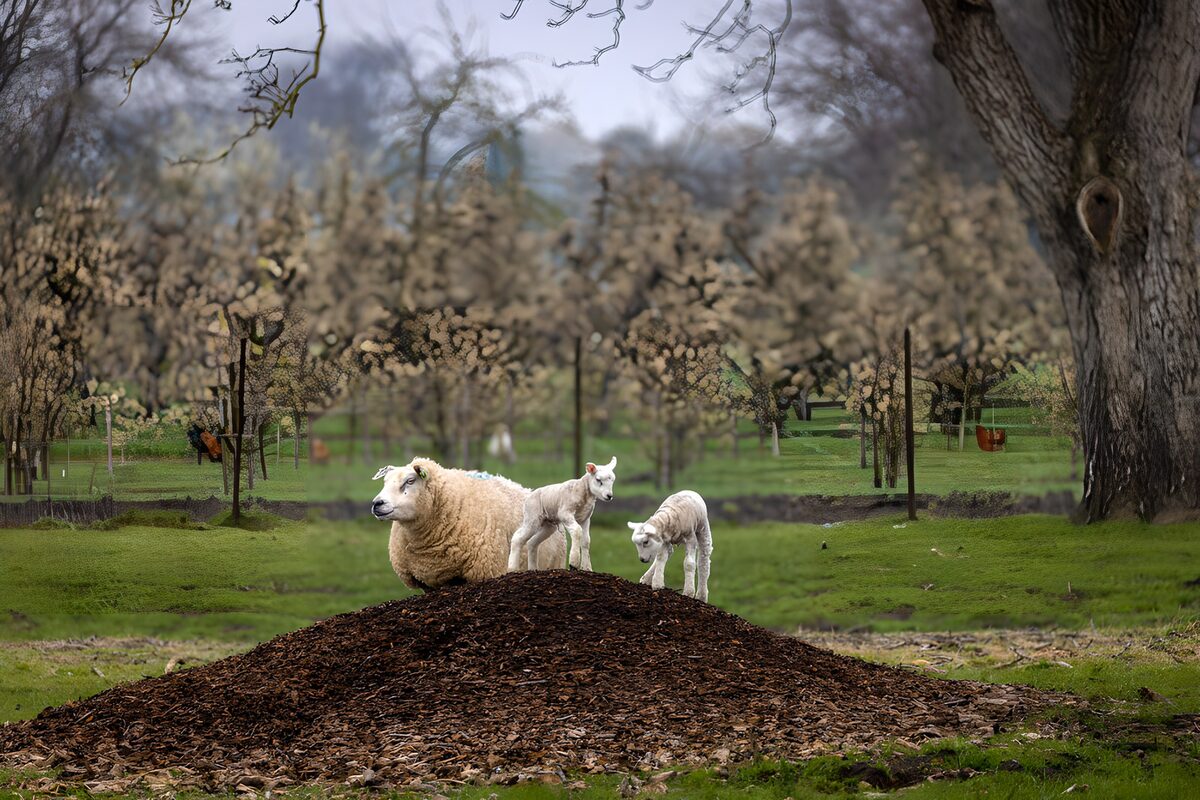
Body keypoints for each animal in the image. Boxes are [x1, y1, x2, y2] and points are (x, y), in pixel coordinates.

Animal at [371, 458, 566, 591]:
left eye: (410, 481)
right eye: (385, 482)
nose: (376, 504)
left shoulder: (486, 571)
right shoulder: (427, 581)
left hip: (553, 562)